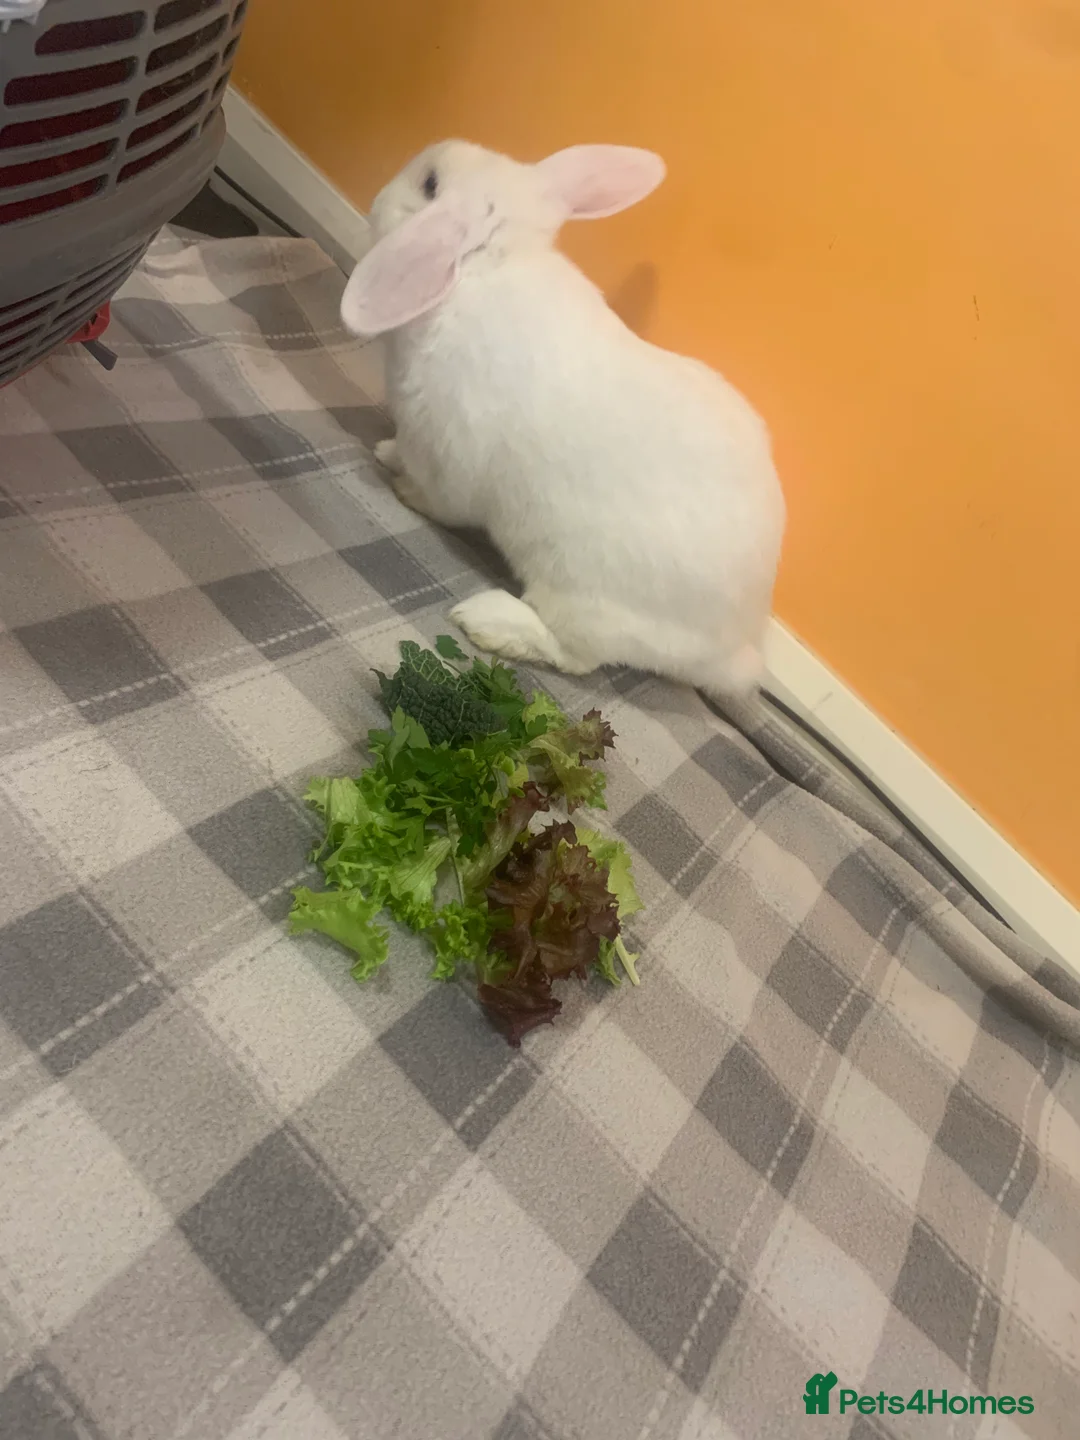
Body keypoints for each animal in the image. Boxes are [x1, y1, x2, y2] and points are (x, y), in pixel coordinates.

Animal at [340, 139, 785, 703]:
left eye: (430, 185)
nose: (378, 195)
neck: (490, 266)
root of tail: (734, 653)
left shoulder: (444, 455)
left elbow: (439, 499)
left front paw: (402, 489)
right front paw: (384, 451)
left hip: (582, 602)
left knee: (574, 657)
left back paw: (487, 620)